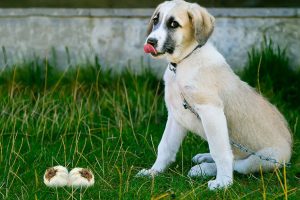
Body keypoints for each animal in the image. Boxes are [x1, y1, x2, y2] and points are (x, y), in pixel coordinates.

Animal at [137, 0, 292, 191]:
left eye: (173, 24)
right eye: (155, 20)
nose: (150, 41)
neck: (183, 63)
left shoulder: (211, 111)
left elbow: (220, 151)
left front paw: (223, 182)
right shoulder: (176, 114)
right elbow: (165, 146)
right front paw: (154, 172)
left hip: (266, 158)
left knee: (239, 163)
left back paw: (203, 169)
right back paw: (204, 158)